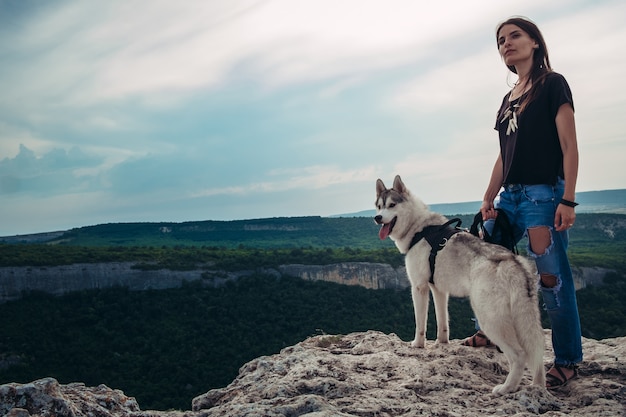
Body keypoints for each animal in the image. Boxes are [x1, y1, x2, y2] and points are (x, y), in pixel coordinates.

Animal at [372, 175, 544, 394]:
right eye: (379, 206)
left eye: (392, 205)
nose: (377, 218)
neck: (418, 227)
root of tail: (513, 263)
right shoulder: (438, 289)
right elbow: (442, 321)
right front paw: (442, 343)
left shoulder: (419, 287)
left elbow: (420, 323)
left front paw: (418, 344)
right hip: (525, 321)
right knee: (538, 352)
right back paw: (538, 387)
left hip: (490, 321)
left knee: (519, 355)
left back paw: (506, 388)